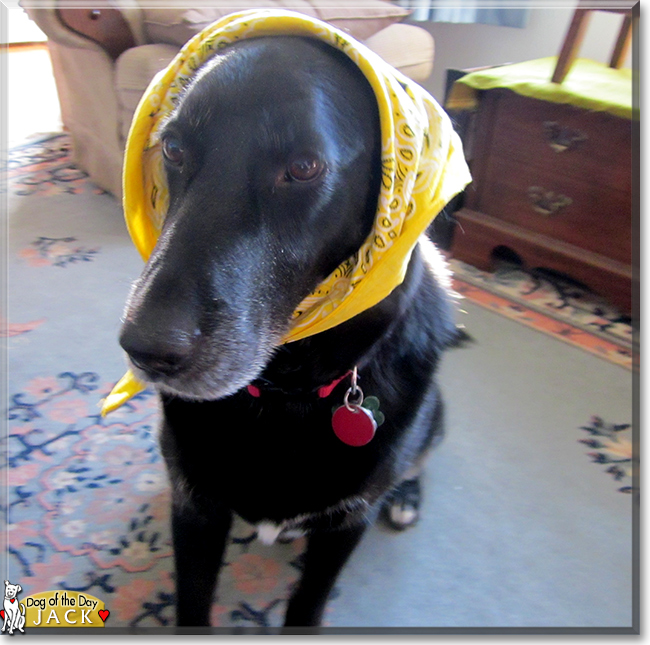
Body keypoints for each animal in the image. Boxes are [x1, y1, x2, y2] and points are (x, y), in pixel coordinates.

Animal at [119, 36, 458, 628]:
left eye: (303, 167)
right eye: (173, 150)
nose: (145, 350)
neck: (285, 392)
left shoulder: (346, 527)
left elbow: (308, 602)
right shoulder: (194, 508)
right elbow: (192, 602)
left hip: (435, 415)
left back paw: (406, 497)